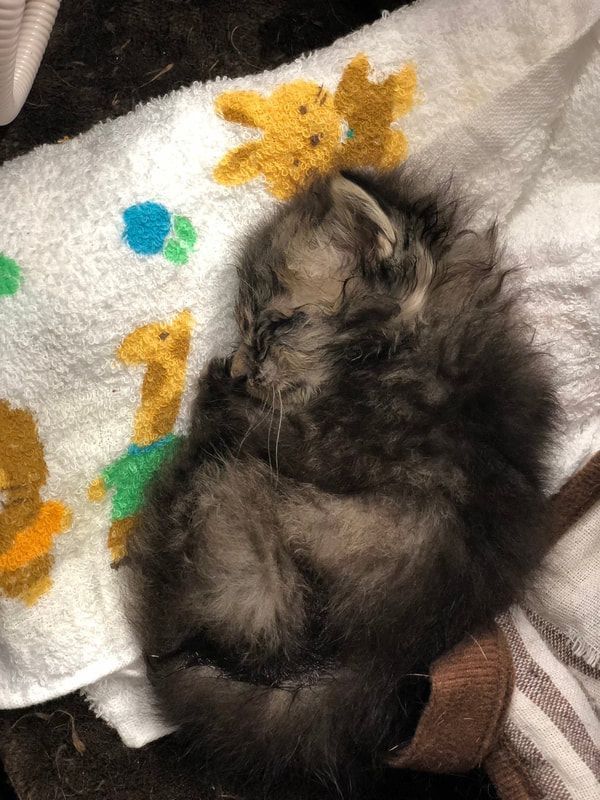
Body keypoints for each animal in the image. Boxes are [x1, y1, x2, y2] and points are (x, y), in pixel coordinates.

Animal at [129, 167, 560, 788]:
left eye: (278, 323)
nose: (239, 368)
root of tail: (379, 660)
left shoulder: (335, 442)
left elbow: (265, 429)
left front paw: (217, 395)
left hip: (240, 508)